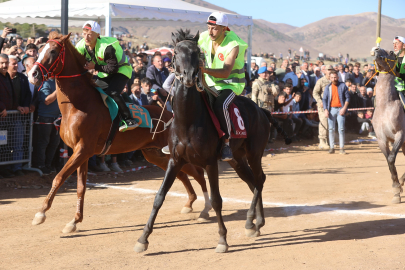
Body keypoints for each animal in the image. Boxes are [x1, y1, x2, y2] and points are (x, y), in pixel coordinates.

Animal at [27, 31, 211, 233]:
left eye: (52, 51)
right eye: (39, 50)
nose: (32, 74)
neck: (78, 104)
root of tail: (175, 116)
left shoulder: (83, 149)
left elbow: (59, 178)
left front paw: (41, 213)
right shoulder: (82, 152)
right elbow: (81, 186)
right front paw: (74, 221)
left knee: (198, 173)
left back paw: (206, 207)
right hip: (156, 154)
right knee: (184, 174)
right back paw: (190, 202)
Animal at [136, 29, 290, 253]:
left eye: (197, 52)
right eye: (176, 52)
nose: (189, 76)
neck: (188, 120)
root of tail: (261, 110)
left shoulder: (210, 163)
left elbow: (217, 200)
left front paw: (222, 240)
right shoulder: (175, 160)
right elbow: (159, 197)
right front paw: (143, 238)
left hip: (254, 153)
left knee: (260, 180)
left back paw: (251, 221)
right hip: (237, 159)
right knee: (253, 182)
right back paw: (255, 224)